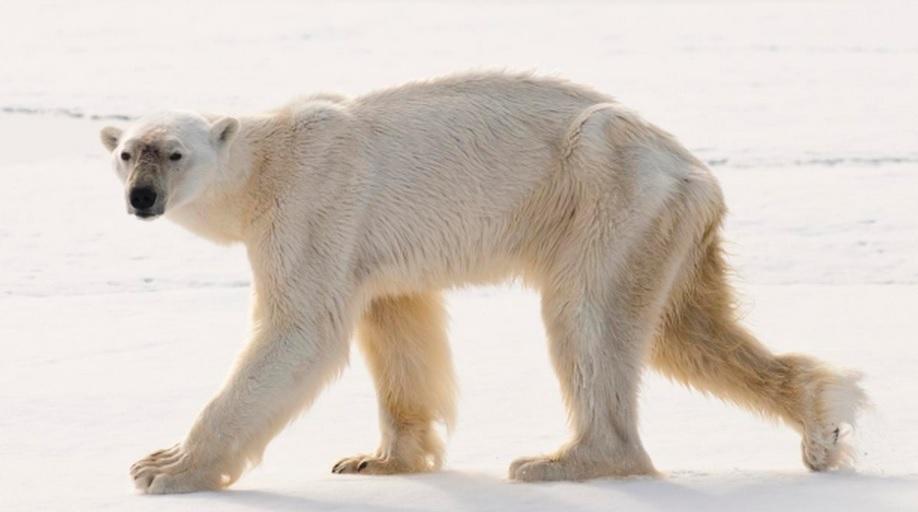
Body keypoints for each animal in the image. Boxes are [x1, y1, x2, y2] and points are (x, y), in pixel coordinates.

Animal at [102, 71, 868, 492]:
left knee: (587, 316)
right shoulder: (368, 245)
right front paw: (378, 460)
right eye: (126, 153)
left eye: (174, 152)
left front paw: (164, 467)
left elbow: (299, 330)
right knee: (685, 330)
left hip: (606, 190)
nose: (142, 198)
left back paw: (563, 459)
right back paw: (821, 421)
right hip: (667, 223)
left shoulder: (310, 204)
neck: (264, 163)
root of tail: (692, 169)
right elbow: (398, 325)